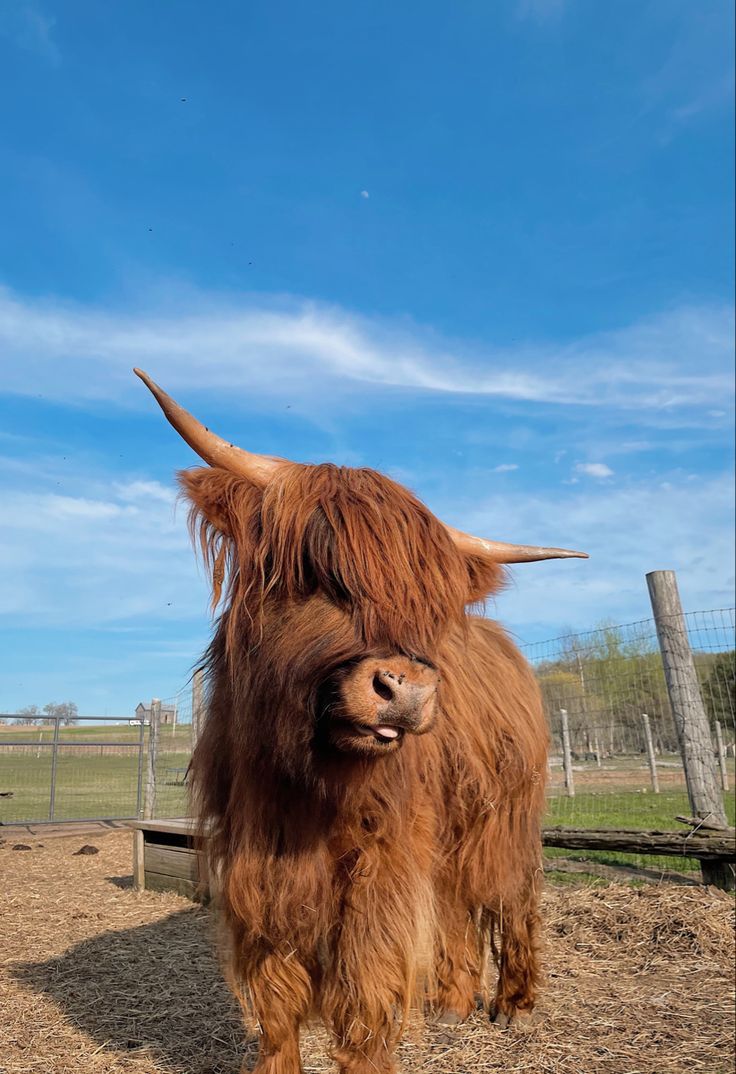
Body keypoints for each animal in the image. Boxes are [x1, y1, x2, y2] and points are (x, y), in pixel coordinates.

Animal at [134, 371, 584, 1074]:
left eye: (426, 603)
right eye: (319, 573)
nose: (409, 690)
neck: (307, 789)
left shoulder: (380, 863)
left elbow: (365, 990)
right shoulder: (256, 866)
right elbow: (276, 998)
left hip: (507, 815)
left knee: (513, 895)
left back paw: (514, 1003)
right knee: (455, 902)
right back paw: (452, 1002)